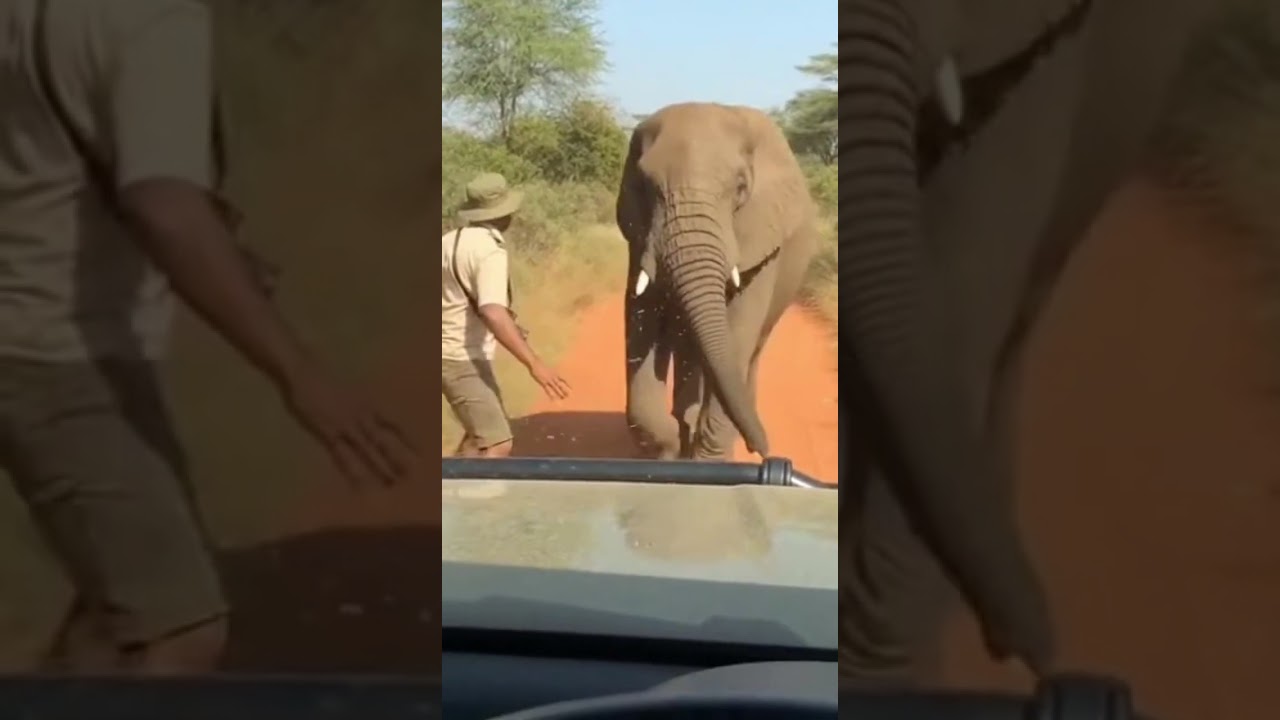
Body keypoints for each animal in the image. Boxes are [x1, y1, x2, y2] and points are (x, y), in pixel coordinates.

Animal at [615, 103, 819, 461]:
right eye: (645, 187)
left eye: (740, 188)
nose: (762, 449)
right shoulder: (639, 237)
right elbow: (642, 319)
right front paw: (672, 451)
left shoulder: (761, 236)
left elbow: (737, 335)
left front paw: (710, 459)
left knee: (750, 350)